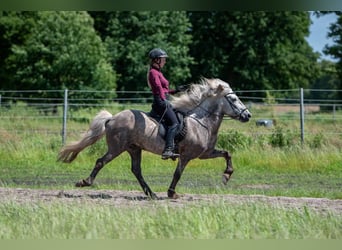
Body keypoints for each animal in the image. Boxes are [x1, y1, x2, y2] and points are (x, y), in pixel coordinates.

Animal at [58, 78, 251, 199]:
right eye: (233, 99)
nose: (247, 115)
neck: (201, 122)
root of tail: (112, 118)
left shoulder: (205, 153)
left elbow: (227, 153)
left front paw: (226, 175)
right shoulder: (187, 155)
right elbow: (178, 173)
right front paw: (172, 193)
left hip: (134, 148)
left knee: (136, 170)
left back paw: (151, 194)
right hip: (116, 148)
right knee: (101, 161)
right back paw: (85, 182)